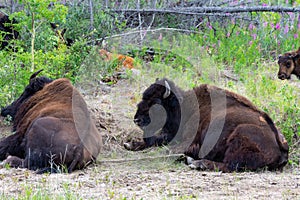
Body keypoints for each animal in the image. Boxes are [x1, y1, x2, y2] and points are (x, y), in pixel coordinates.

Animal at [124, 78, 288, 172]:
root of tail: (281, 146)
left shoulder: (189, 141)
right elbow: (153, 140)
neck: (184, 106)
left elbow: (167, 150)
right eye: (143, 97)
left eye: (156, 102)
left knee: (230, 165)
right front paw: (130, 144)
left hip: (240, 135)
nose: (137, 119)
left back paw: (197, 163)